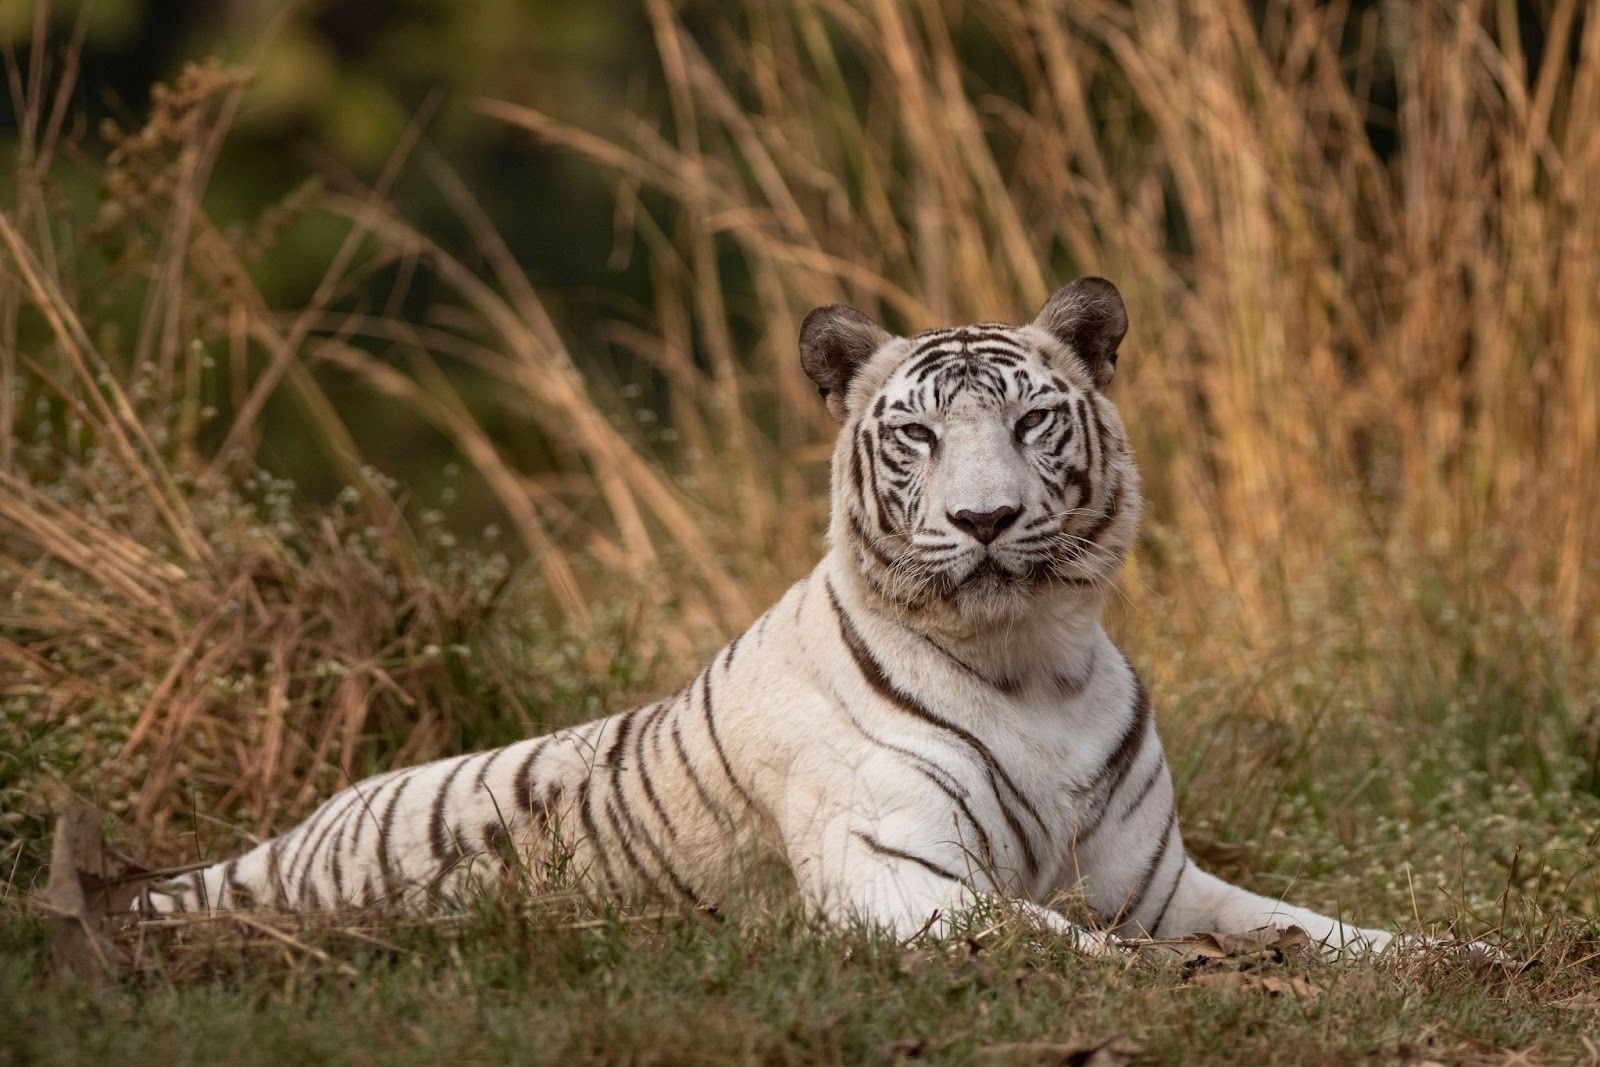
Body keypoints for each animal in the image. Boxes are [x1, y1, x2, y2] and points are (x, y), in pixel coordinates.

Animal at [135, 277, 1396, 958]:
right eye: (918, 434)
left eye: (1031, 422)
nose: (985, 517)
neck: (1030, 655)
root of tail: (296, 832)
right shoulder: (890, 870)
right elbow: (1054, 935)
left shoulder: (1158, 879)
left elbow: (1326, 926)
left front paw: (1431, 954)